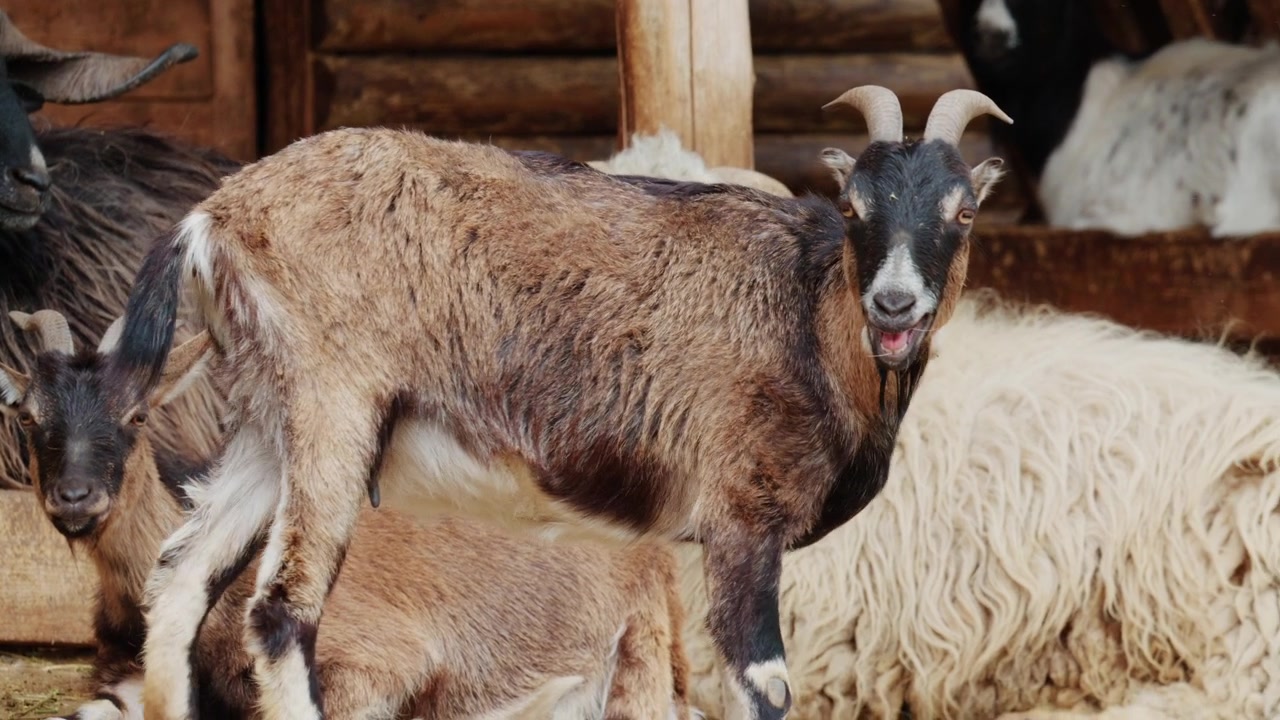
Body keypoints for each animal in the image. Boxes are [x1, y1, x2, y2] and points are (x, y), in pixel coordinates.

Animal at [101, 84, 1010, 720]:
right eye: (855, 207)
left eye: (962, 212)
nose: (894, 304)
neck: (806, 317)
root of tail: (214, 216)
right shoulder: (741, 522)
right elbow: (764, 686)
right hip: (333, 408)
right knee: (280, 611)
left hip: (269, 422)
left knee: (179, 584)